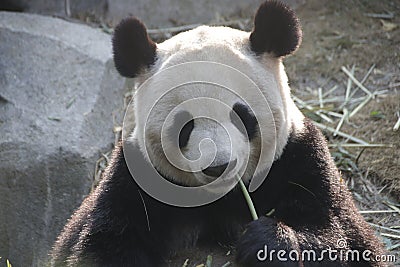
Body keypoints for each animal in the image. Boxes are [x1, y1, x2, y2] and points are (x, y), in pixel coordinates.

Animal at [50, 1, 384, 266]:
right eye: (183, 125)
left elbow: (336, 235)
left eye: (241, 115)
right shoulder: (134, 179)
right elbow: (102, 242)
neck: (220, 198)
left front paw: (265, 241)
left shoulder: (301, 159)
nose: (218, 166)